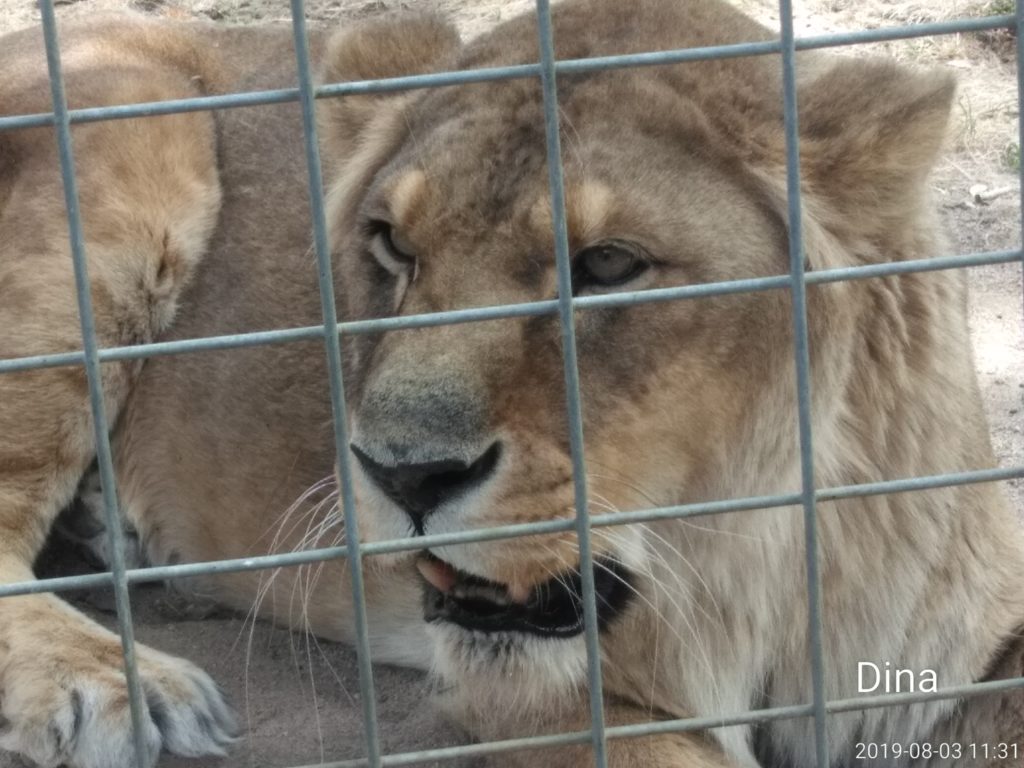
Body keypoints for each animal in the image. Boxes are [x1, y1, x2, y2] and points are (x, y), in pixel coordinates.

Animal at [2, 0, 1024, 765]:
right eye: (392, 244)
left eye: (607, 265)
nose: (404, 476)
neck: (766, 570)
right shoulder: (554, 701)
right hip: (133, 115)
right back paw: (118, 686)